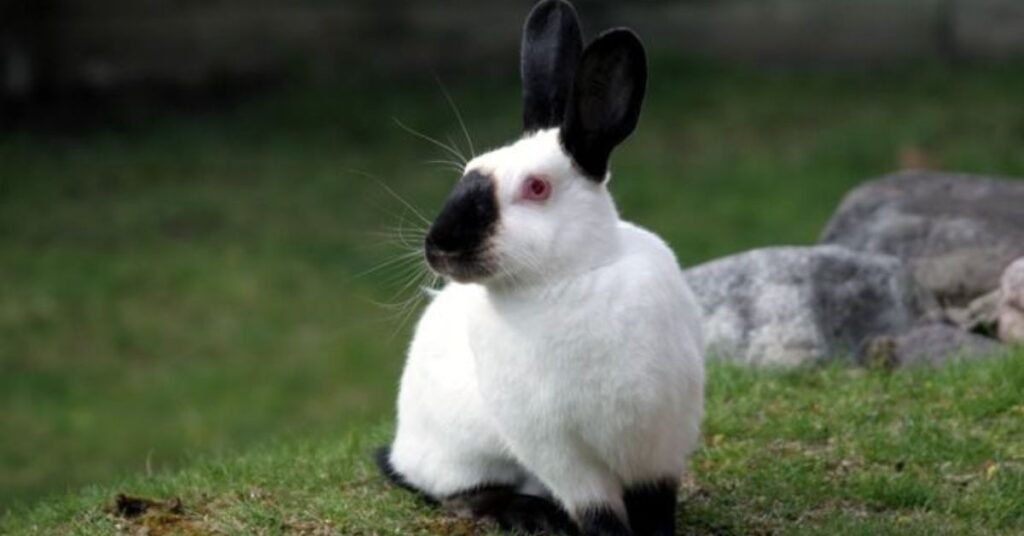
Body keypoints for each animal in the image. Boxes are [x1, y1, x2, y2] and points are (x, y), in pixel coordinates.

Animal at [377, 1, 705, 535]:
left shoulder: (657, 438)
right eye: (468, 170)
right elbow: (598, 512)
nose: (437, 247)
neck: (569, 280)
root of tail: (402, 450)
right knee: (456, 492)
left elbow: (656, 504)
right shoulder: (559, 452)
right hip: (466, 456)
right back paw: (526, 513)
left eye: (536, 188)